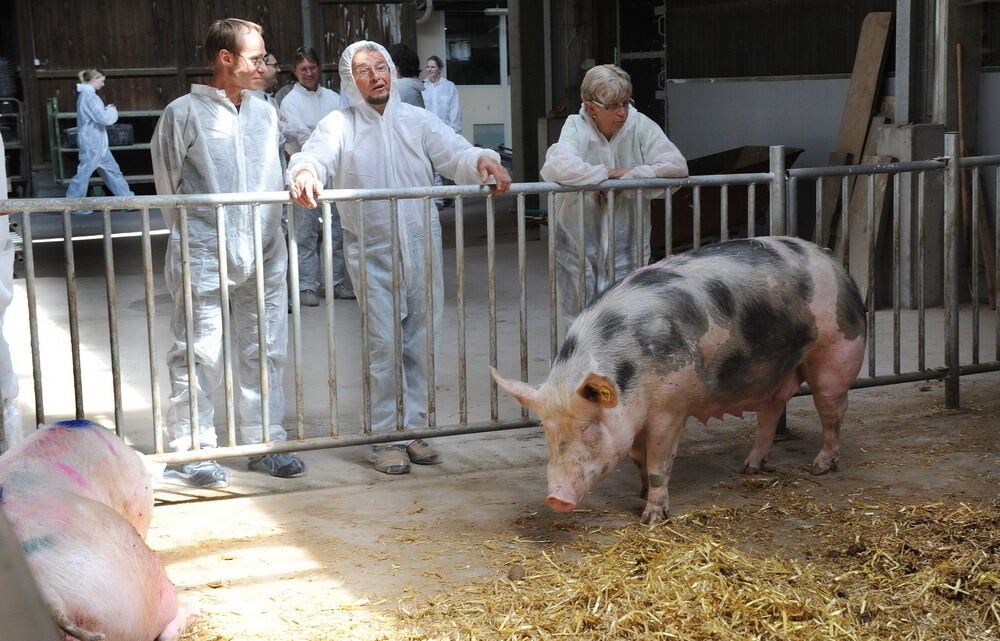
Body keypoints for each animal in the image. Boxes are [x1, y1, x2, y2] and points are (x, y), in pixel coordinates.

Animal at [494, 238, 868, 524]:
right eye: (547, 430)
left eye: (586, 427)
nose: (555, 499)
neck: (630, 370)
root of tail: (829, 257)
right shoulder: (633, 419)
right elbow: (639, 458)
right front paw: (641, 493)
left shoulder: (670, 408)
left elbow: (660, 463)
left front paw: (651, 518)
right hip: (773, 369)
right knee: (772, 410)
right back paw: (749, 468)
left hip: (837, 353)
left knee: (832, 411)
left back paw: (820, 468)